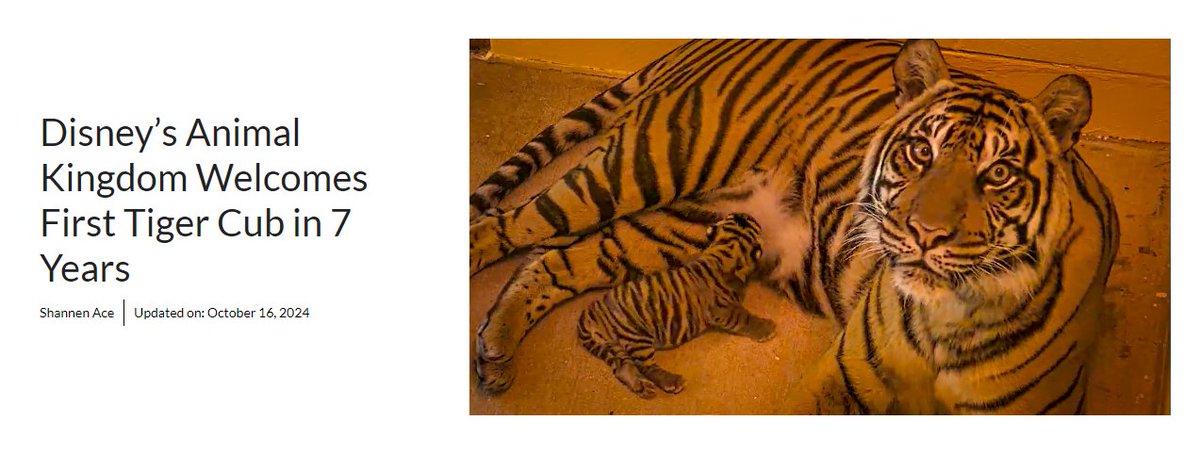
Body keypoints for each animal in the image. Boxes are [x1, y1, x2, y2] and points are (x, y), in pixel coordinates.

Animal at [577, 213, 770, 399]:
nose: (748, 215)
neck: (725, 248)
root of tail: (590, 312)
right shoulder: (722, 309)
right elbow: (744, 318)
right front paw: (767, 328)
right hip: (635, 335)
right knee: (646, 366)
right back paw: (672, 381)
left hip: (613, 346)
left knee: (622, 367)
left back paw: (641, 387)